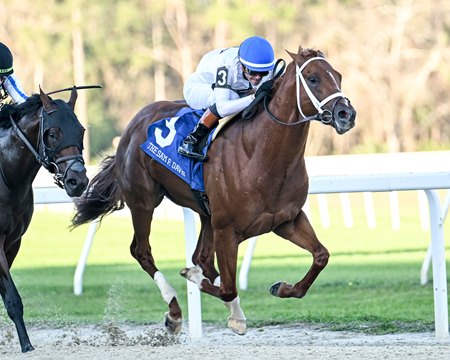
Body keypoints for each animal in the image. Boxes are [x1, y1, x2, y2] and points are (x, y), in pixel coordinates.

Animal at [0, 87, 89, 352]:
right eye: (52, 133)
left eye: (81, 130)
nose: (78, 181)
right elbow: (12, 298)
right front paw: (26, 345)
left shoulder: (13, 241)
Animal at [71, 47, 356, 334]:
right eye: (312, 78)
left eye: (339, 76)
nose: (346, 114)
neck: (261, 155)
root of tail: (134, 122)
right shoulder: (227, 230)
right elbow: (228, 287)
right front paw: (193, 278)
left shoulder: (286, 220)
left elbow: (320, 256)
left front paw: (282, 288)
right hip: (144, 202)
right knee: (142, 251)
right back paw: (174, 311)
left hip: (206, 213)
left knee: (203, 257)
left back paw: (232, 312)